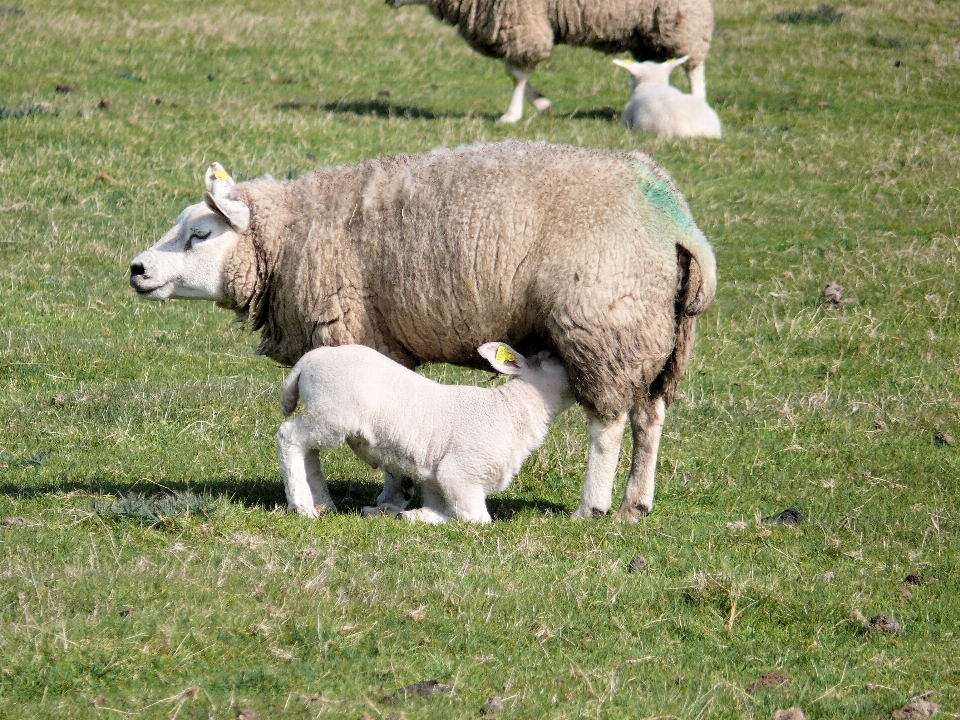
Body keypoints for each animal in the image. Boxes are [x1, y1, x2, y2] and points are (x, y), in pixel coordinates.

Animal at [278, 344, 576, 524]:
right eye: (554, 358)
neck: (511, 412)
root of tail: (316, 355)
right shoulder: (459, 475)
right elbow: (474, 519)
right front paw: (407, 515)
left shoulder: (436, 481)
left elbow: (438, 507)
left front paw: (394, 512)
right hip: (332, 415)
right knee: (289, 436)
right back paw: (302, 506)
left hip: (323, 416)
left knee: (310, 451)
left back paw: (322, 503)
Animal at [384, 0, 712, 122]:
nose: (388, 2)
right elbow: (513, 70)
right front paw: (541, 103)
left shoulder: (523, 23)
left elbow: (516, 73)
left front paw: (511, 115)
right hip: (648, 32)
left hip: (681, 20)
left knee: (694, 66)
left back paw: (698, 104)